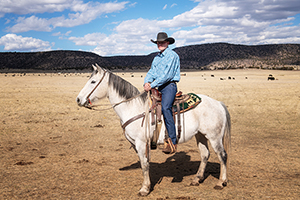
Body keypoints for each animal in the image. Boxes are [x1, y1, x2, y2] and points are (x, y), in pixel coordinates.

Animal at [76, 65, 231, 196]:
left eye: (93, 81)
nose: (78, 99)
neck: (133, 108)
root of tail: (218, 103)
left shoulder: (141, 142)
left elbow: (144, 165)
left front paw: (144, 189)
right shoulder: (137, 144)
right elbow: (144, 163)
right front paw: (147, 185)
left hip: (214, 137)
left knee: (222, 155)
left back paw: (221, 182)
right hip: (200, 135)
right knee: (205, 154)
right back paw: (196, 179)